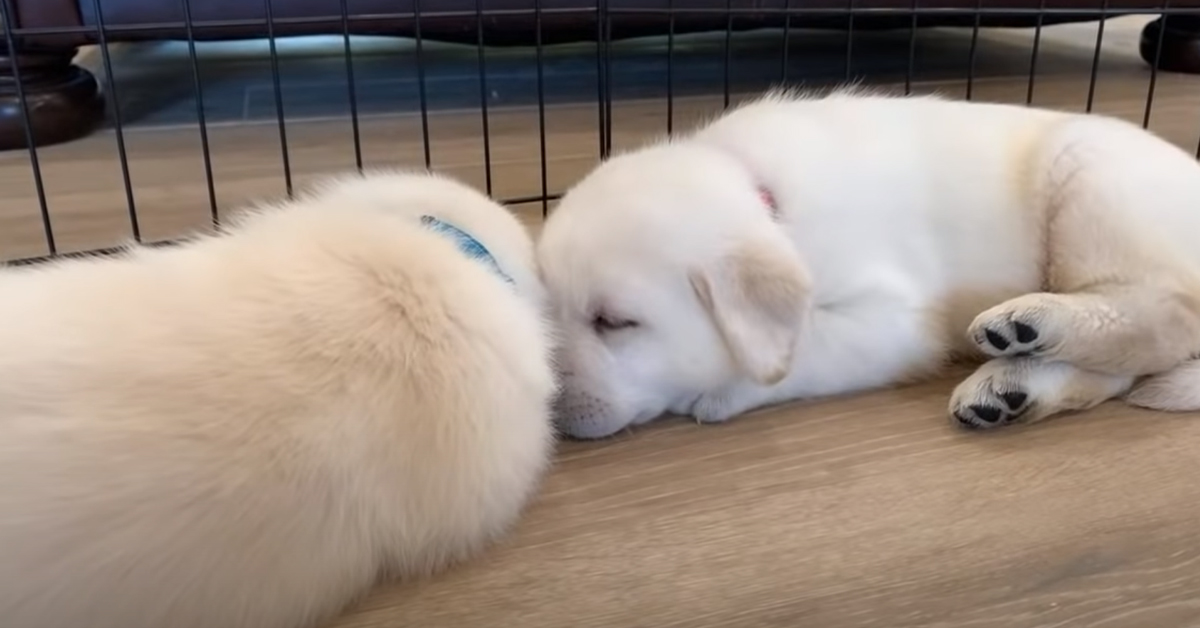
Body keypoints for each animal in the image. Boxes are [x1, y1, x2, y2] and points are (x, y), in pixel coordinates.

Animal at [537, 88, 1200, 439]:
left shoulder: (892, 323)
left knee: (1165, 320)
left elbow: (798, 352)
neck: (771, 203)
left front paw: (718, 393)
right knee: (1122, 370)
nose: (545, 404)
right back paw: (1014, 385)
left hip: (1089, 179)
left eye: (615, 323)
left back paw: (1032, 323)